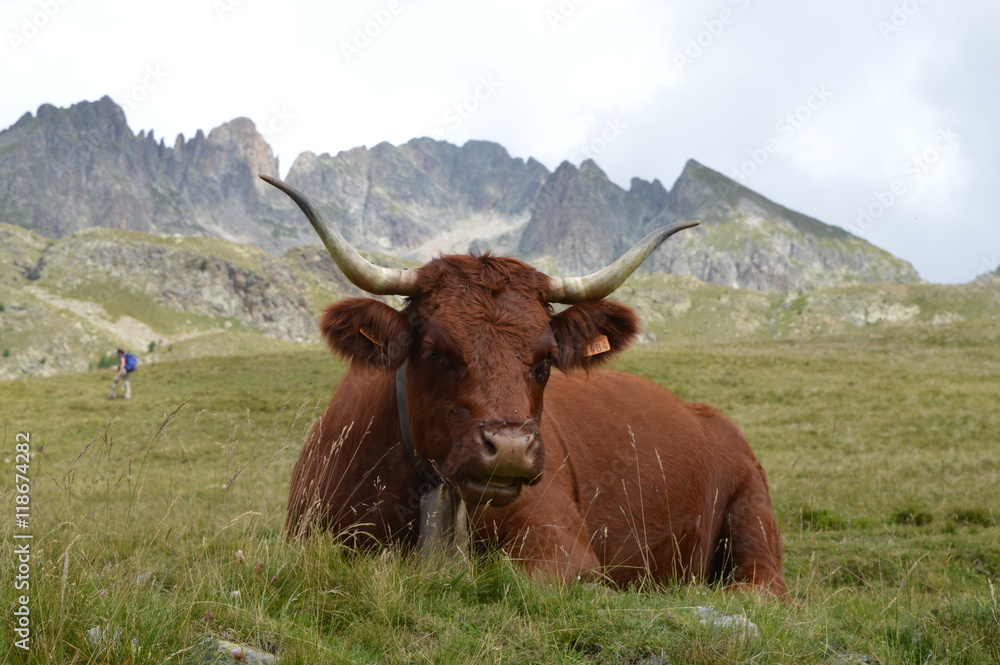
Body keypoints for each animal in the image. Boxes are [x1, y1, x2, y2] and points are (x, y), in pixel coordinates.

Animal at [264, 172, 788, 596]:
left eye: (546, 360)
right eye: (435, 351)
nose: (510, 448)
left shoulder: (562, 550)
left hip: (753, 516)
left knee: (759, 586)